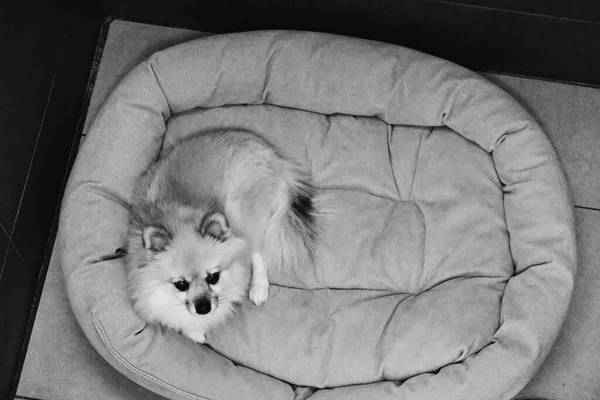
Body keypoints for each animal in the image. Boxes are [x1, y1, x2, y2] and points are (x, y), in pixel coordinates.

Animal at [125, 128, 322, 344]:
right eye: (181, 285)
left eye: (214, 277)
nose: (203, 308)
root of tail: (270, 153)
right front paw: (194, 333)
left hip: (239, 212)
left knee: (257, 251)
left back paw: (258, 288)